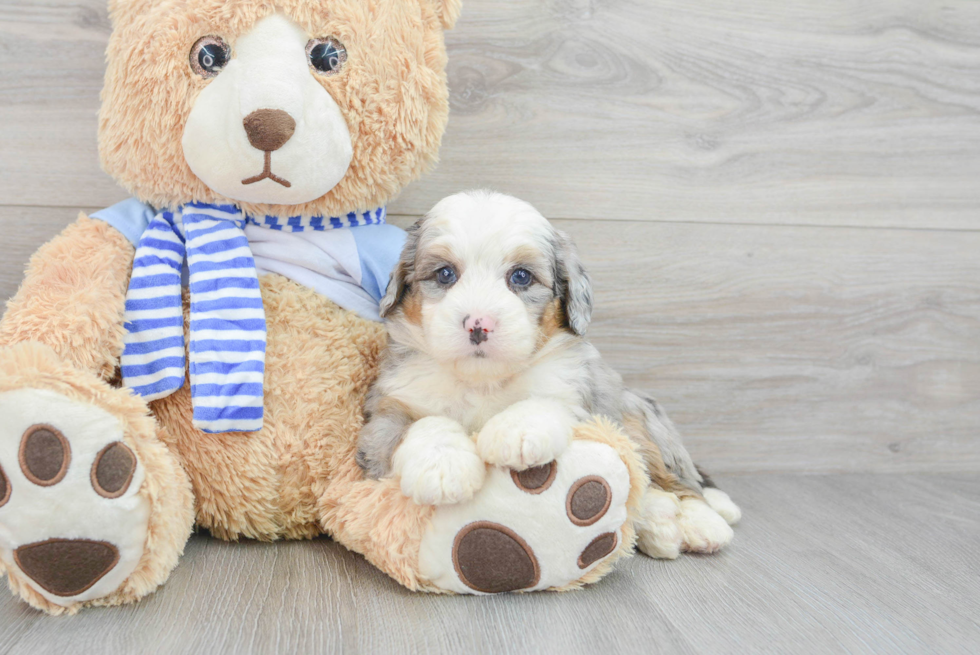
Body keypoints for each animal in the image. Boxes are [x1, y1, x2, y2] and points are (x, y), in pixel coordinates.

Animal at [356, 191, 740, 560]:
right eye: (445, 274)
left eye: (521, 276)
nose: (479, 324)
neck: (483, 381)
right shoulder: (392, 398)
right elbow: (423, 421)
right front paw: (442, 466)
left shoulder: (577, 393)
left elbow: (545, 402)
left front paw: (515, 432)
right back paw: (661, 521)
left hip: (639, 416)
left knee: (679, 481)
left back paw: (701, 524)